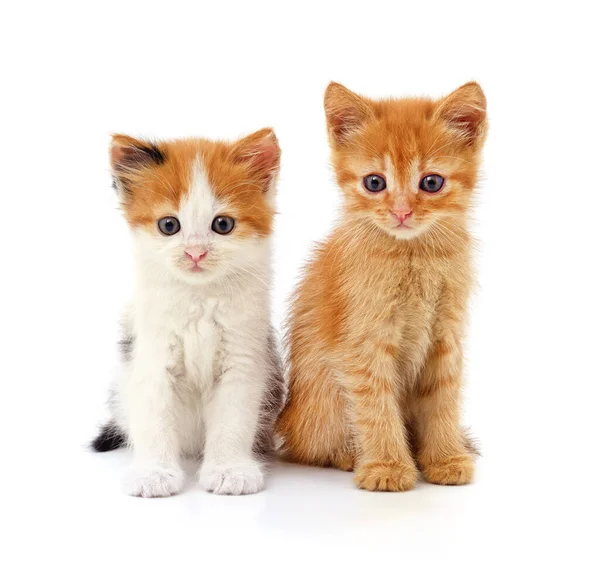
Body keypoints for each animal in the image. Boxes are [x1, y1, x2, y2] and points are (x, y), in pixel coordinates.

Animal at [92, 130, 284, 496]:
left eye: (222, 224)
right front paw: (153, 473)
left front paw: (230, 470)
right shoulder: (153, 359)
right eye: (169, 225)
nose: (196, 253)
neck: (200, 298)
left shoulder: (243, 360)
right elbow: (154, 421)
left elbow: (233, 420)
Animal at [276, 80, 488, 492]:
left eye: (431, 182)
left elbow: (443, 399)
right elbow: (376, 407)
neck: (412, 255)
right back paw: (348, 455)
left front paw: (445, 458)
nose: (401, 212)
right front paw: (387, 466)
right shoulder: (363, 343)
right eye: (375, 183)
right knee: (310, 448)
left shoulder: (445, 337)